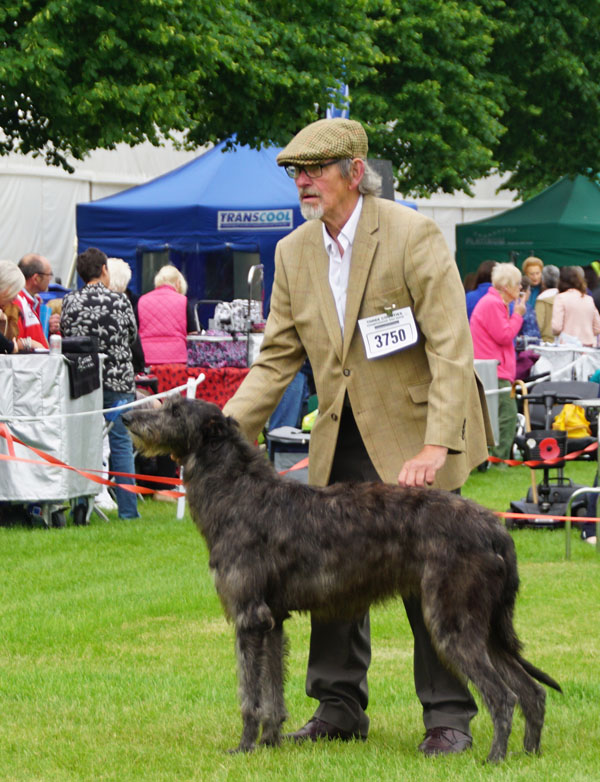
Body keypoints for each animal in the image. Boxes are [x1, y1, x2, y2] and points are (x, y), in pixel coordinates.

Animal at [124, 396, 560, 764]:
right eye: (167, 402)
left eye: (175, 410)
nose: (127, 418)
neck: (240, 492)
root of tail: (495, 527)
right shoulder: (272, 622)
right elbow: (273, 692)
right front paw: (270, 742)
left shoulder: (248, 617)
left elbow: (250, 695)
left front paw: (245, 747)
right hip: (486, 624)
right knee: (532, 691)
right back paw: (530, 754)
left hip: (453, 620)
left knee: (503, 696)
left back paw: (495, 758)